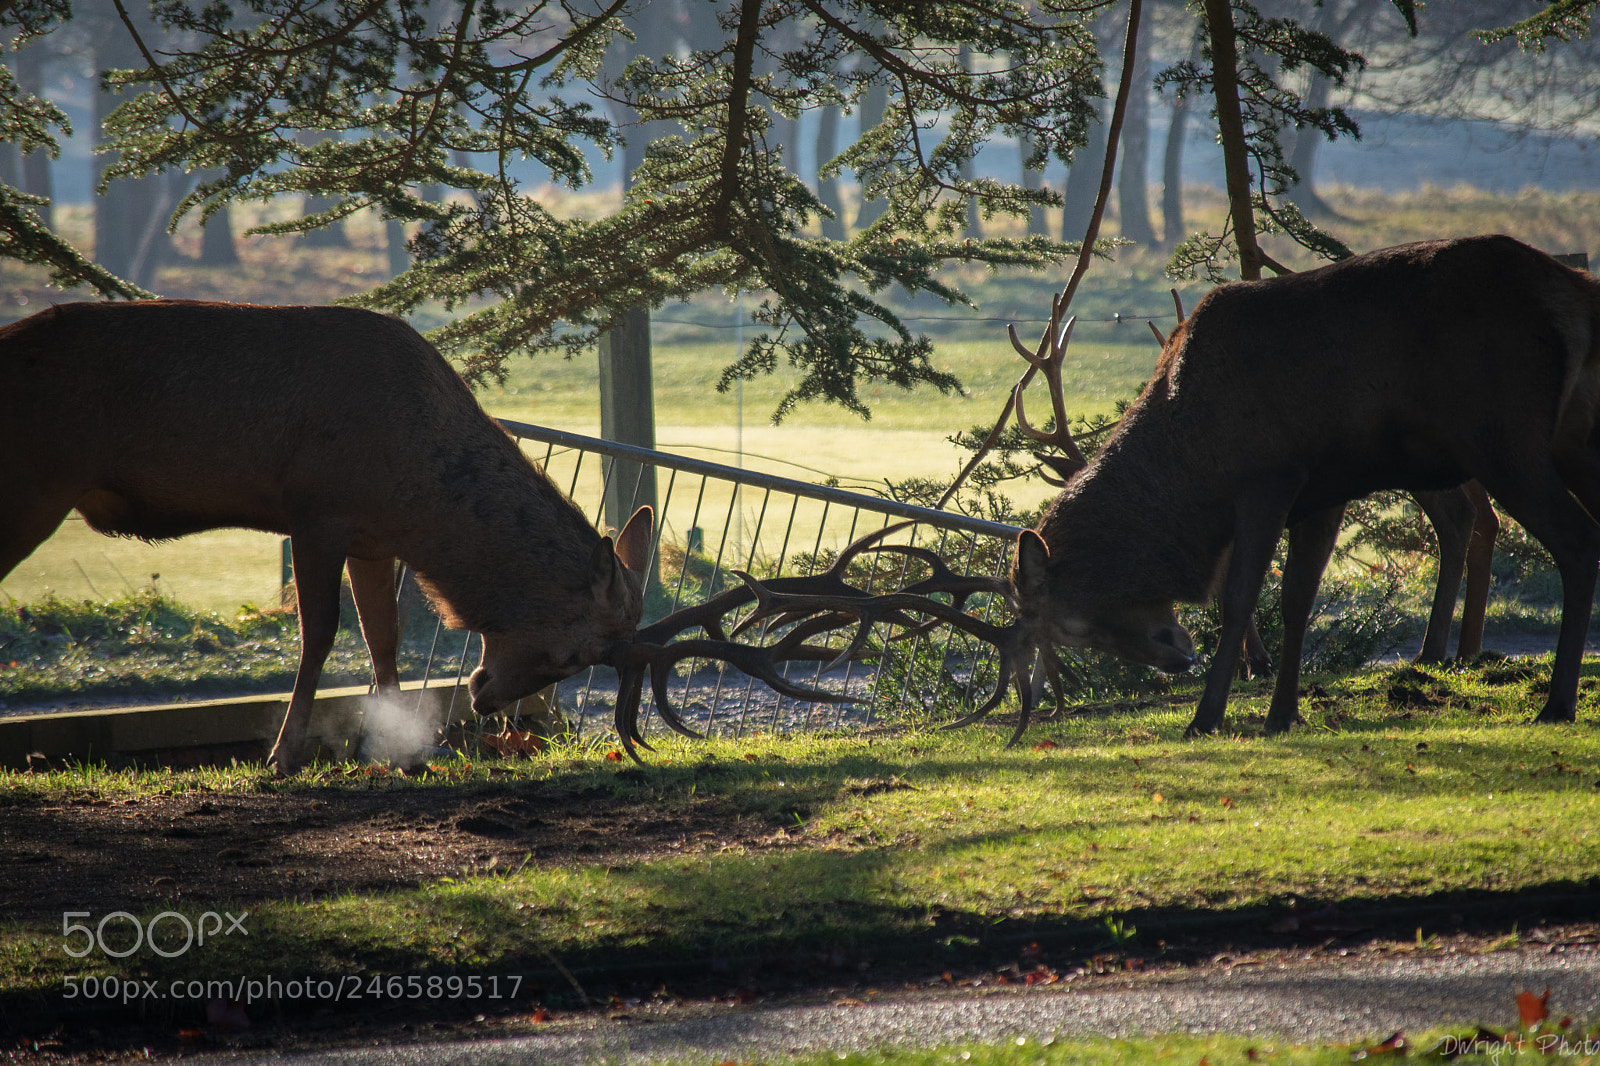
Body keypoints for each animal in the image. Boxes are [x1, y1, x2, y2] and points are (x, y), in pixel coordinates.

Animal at [0, 299, 653, 774]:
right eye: (571, 655)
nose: (487, 699)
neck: (415, 493)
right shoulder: (317, 513)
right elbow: (319, 632)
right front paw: (283, 755)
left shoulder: (373, 540)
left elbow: (384, 639)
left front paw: (404, 753)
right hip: (34, 485)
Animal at [1005, 235, 1600, 736]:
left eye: (1073, 628)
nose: (1178, 659)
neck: (1193, 463)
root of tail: (1574, 294)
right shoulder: (1324, 490)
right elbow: (1298, 598)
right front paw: (1282, 714)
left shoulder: (1269, 476)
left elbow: (1240, 597)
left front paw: (1207, 716)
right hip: (1569, 438)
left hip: (1502, 436)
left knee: (1573, 539)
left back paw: (1556, 703)